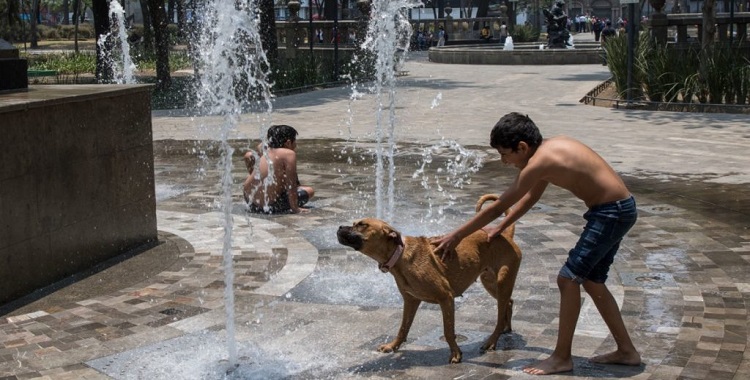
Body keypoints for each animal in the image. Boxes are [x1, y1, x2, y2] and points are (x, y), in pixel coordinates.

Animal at [340, 194, 524, 364]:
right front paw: (393, 346)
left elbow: (448, 331)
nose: (340, 226)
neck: (399, 255)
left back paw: (492, 341)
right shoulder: (411, 300)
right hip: (490, 282)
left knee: (499, 315)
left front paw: (456, 353)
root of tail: (505, 234)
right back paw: (506, 328)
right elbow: (403, 327)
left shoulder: (446, 298)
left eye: (362, 225)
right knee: (508, 303)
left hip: (502, 281)